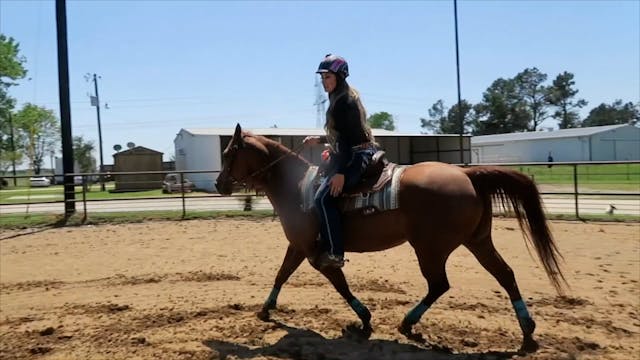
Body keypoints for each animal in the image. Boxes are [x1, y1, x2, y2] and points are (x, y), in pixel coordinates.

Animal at [215, 124, 564, 352]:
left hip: (430, 248)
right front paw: (265, 310)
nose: (219, 184)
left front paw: (365, 320)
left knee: (439, 285)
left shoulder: (317, 254)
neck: (297, 186)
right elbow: (282, 274)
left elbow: (340, 284)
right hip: (477, 241)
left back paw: (408, 324)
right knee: (505, 275)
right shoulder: (298, 246)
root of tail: (466, 174)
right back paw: (527, 333)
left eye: (229, 152)